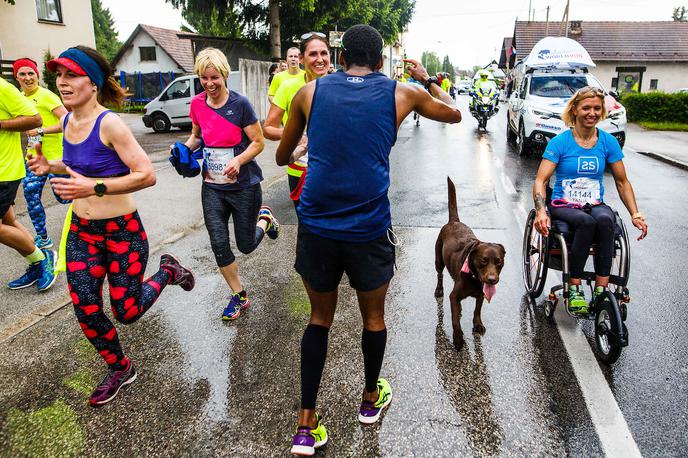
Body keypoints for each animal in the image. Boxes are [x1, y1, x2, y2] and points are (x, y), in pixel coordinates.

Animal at [436, 177, 506, 348]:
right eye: (483, 261)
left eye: (499, 262)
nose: (492, 280)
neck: (474, 278)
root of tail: (454, 221)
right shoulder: (454, 296)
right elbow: (455, 320)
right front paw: (458, 338)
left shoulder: (481, 294)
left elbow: (477, 310)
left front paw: (477, 324)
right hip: (438, 260)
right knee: (440, 274)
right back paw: (439, 290)